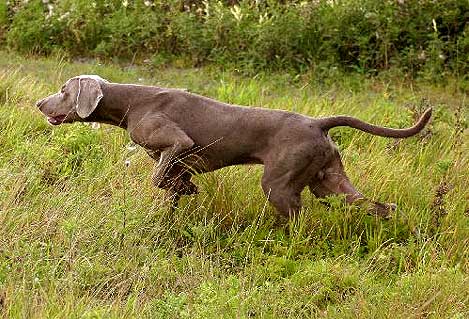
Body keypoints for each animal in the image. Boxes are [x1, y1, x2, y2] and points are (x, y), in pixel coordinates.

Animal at [36, 75, 432, 218]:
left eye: (62, 90)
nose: (39, 104)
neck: (132, 102)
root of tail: (317, 122)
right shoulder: (176, 160)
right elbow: (171, 186)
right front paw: (181, 198)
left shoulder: (177, 142)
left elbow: (157, 178)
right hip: (329, 182)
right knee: (379, 206)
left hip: (279, 185)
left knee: (298, 218)